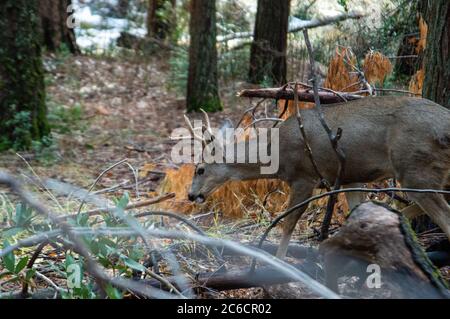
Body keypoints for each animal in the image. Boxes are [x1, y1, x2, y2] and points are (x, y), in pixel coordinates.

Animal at [184, 96, 450, 258]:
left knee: (444, 215)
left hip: (415, 167)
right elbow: (355, 212)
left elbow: (288, 223)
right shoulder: (351, 177)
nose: (190, 195)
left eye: (200, 169)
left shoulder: (304, 177)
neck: (275, 152)